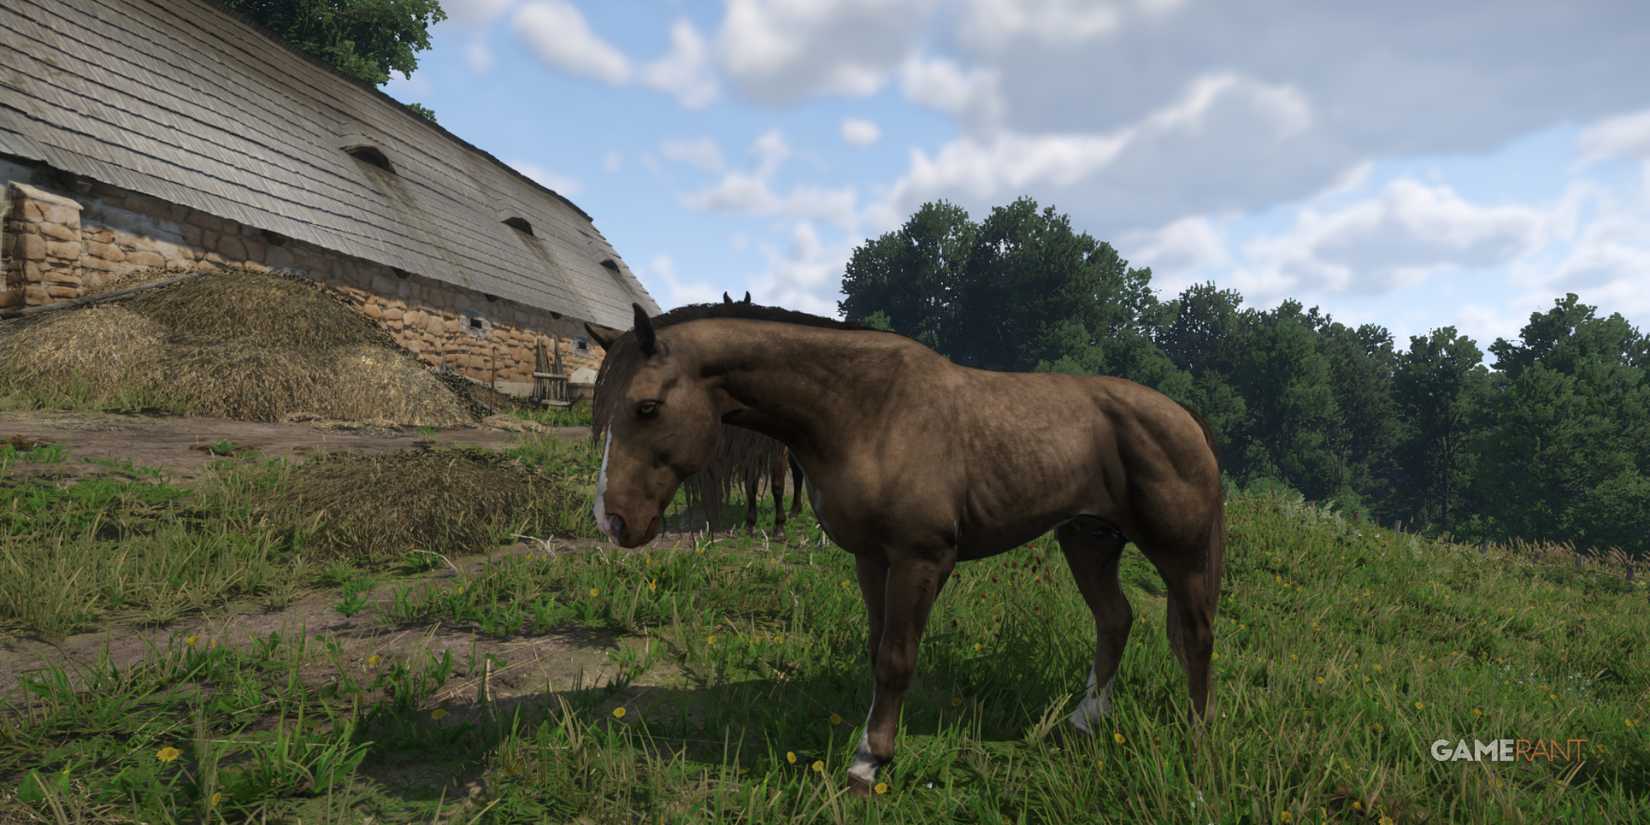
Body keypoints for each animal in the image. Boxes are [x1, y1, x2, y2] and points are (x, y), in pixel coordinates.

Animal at [586, 300, 1224, 795]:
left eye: (647, 406)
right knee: (1115, 620)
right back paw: (1085, 721)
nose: (613, 521)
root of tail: (1183, 417)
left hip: (1179, 553)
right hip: (1089, 541)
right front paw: (870, 744)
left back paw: (1196, 746)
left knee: (1195, 638)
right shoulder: (872, 559)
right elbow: (877, 651)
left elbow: (897, 658)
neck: (868, 411)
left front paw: (869, 764)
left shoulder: (922, 559)